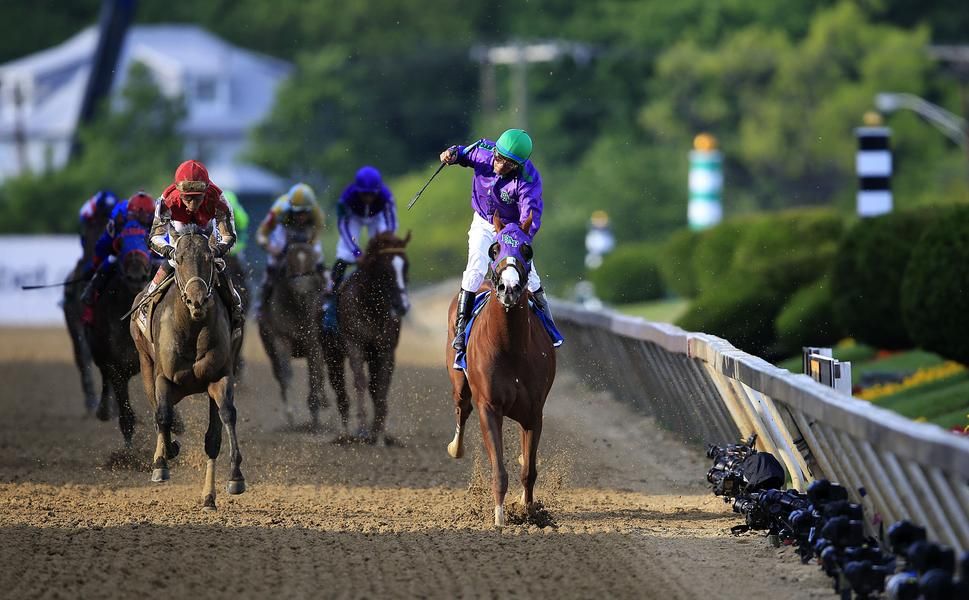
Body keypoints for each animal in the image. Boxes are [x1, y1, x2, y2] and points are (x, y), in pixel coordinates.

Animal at [86, 223, 154, 448]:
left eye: (145, 241)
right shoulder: (115, 366)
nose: (136, 277)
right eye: (120, 244)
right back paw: (103, 410)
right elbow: (126, 415)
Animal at [130, 225, 246, 510]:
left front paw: (235, 477)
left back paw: (208, 496)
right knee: (157, 412)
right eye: (179, 259)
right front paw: (162, 463)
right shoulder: (163, 377)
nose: (197, 302)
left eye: (209, 258)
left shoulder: (220, 377)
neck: (192, 327)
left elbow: (224, 421)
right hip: (145, 362)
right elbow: (163, 415)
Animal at [258, 237, 328, 428]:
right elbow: (285, 373)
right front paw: (290, 411)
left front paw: (315, 409)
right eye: (289, 266)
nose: (302, 288)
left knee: (320, 371)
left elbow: (314, 372)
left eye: (312, 266)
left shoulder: (313, 338)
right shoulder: (280, 337)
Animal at [324, 232, 410, 442]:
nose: (403, 306)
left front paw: (379, 432)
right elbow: (360, 382)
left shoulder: (386, 349)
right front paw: (362, 429)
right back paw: (346, 433)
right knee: (340, 391)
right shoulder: (355, 344)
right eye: (386, 270)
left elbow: (381, 385)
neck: (371, 306)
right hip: (332, 354)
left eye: (406, 266)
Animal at [444, 213, 552, 528]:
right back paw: (455, 447)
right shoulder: (489, 408)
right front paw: (500, 518)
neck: (510, 346)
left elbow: (529, 470)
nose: (509, 288)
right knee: (461, 408)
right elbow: (499, 471)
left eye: (527, 250)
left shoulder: (534, 412)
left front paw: (529, 512)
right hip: (460, 383)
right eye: (494, 250)